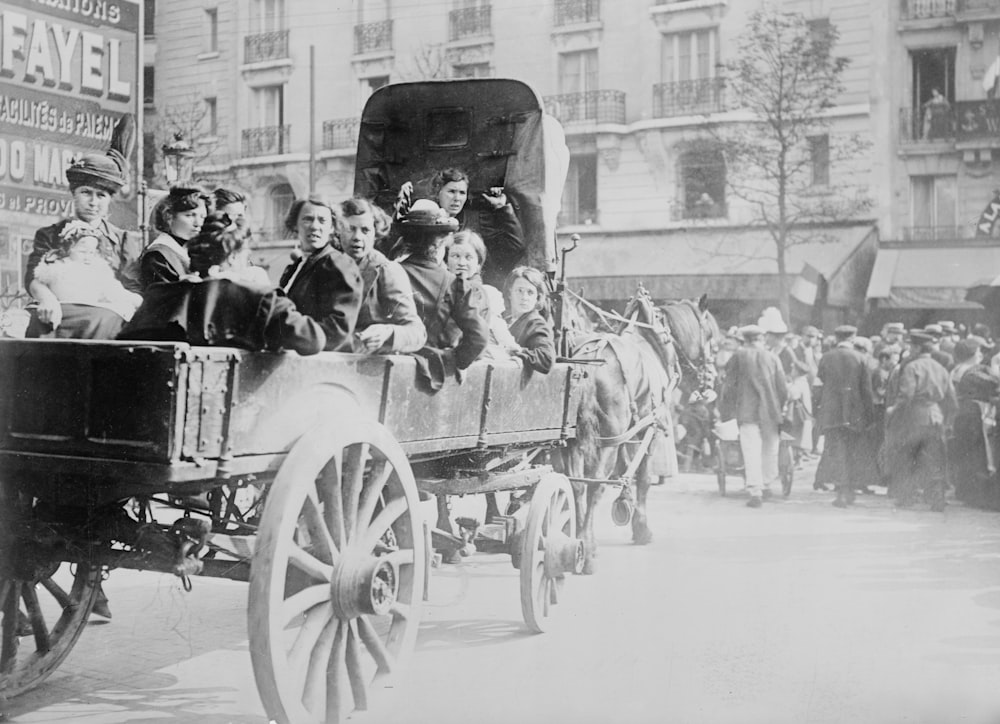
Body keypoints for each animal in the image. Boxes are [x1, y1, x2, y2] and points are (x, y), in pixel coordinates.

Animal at [556, 284, 680, 572]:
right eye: (666, 331)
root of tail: (588, 361)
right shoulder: (649, 430)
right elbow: (643, 477)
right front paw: (642, 529)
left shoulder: (630, 434)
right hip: (607, 442)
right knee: (595, 487)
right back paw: (588, 551)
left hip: (574, 443)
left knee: (577, 486)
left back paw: (579, 542)